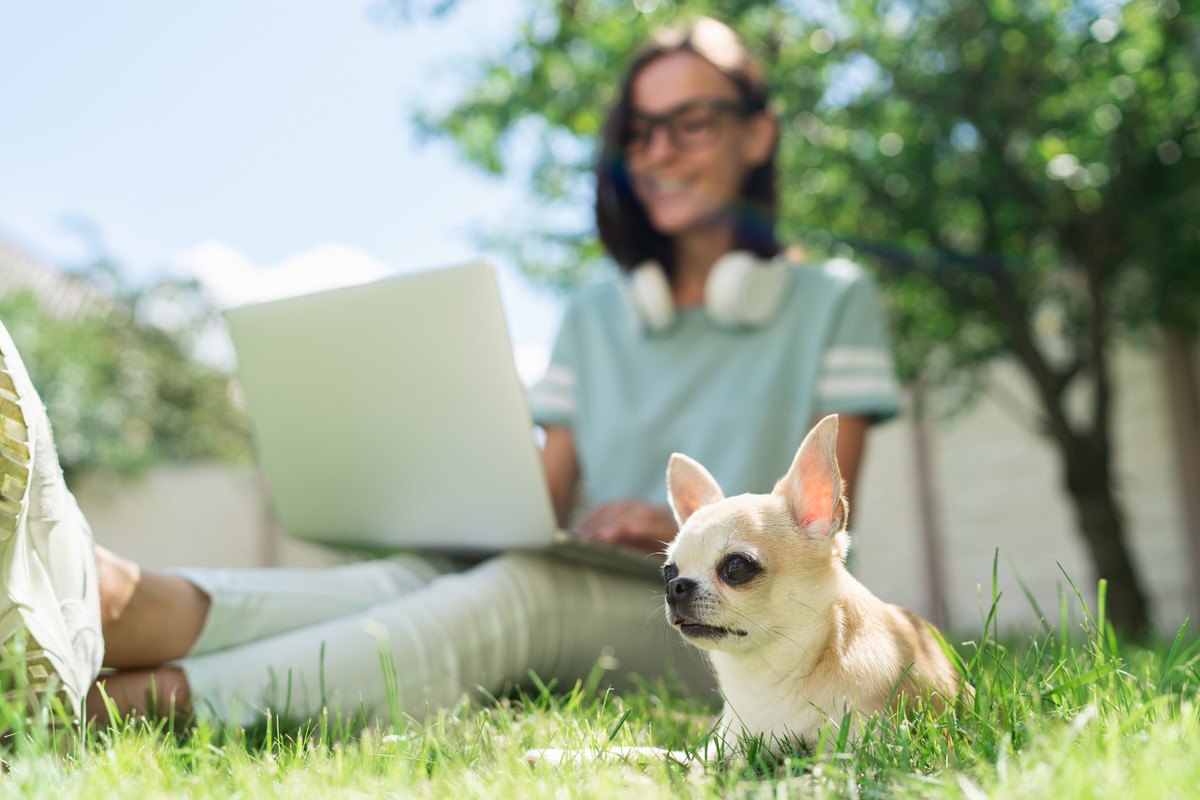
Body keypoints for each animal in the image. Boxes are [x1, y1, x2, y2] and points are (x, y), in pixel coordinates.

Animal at [662, 412, 969, 753]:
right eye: (668, 572)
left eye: (737, 567)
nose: (675, 587)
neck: (765, 674)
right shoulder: (720, 748)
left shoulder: (861, 745)